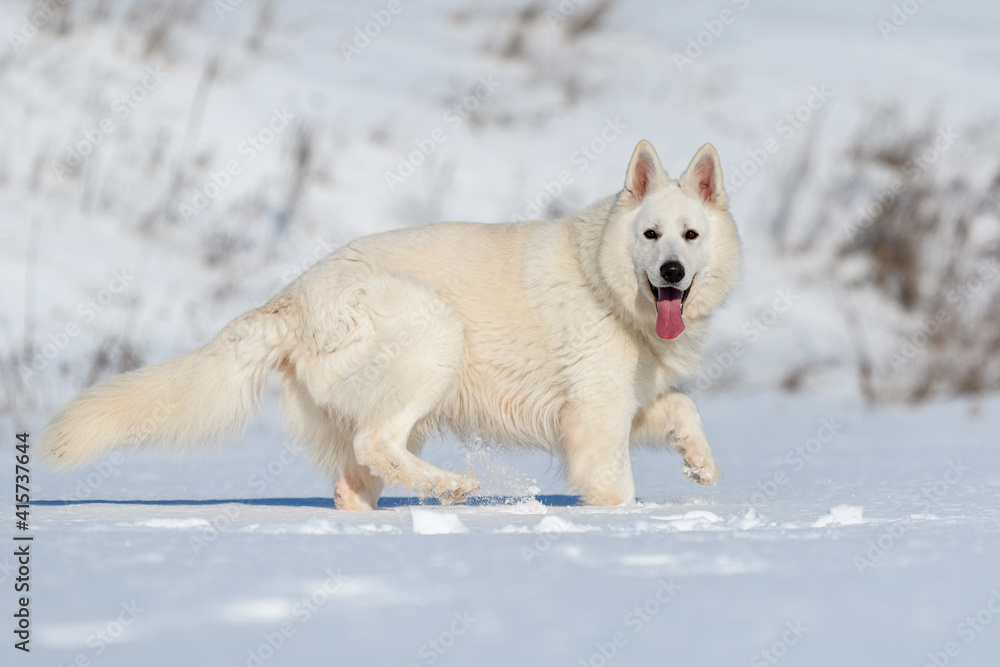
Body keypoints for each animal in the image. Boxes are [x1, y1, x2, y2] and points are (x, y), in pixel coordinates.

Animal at [39, 138, 744, 508]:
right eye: (650, 235)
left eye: (689, 235)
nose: (673, 272)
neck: (604, 281)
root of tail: (289, 298)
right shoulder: (594, 419)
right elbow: (616, 488)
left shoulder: (622, 404)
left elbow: (682, 407)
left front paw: (701, 466)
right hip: (434, 338)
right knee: (376, 442)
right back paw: (453, 487)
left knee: (355, 476)